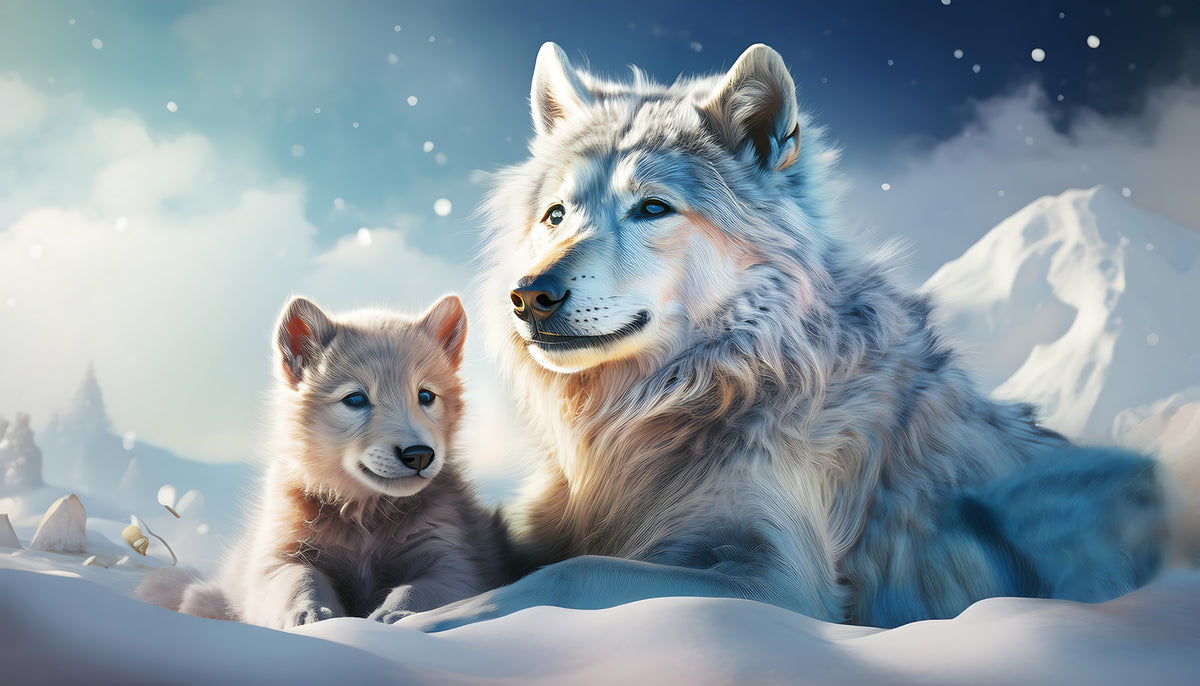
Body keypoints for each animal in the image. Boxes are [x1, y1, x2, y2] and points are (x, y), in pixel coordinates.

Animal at [170, 295, 510, 629]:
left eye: (426, 396)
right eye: (355, 399)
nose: (419, 455)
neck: (364, 518)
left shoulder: (455, 553)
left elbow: (429, 587)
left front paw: (396, 614)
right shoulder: (278, 552)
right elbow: (297, 577)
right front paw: (309, 613)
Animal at [399, 43, 1169, 632]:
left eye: (653, 208)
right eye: (557, 214)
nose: (529, 295)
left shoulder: (780, 579)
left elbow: (572, 574)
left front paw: (427, 621)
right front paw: (405, 598)